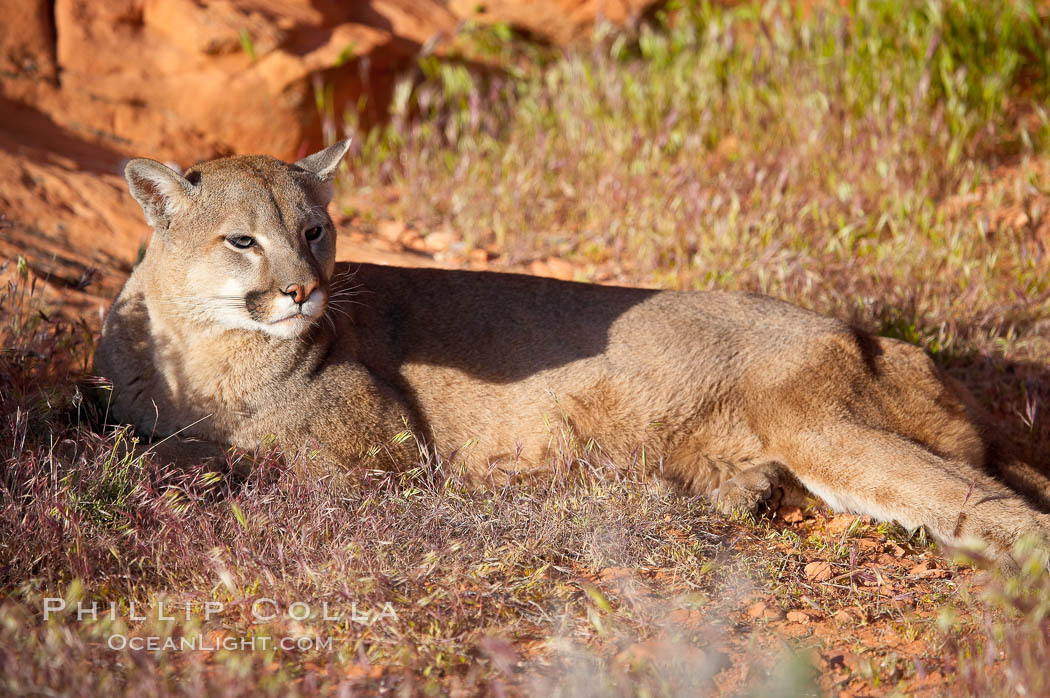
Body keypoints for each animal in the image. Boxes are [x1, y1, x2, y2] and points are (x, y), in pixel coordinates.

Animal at [94, 140, 1050, 562]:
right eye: (243, 241)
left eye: (315, 230)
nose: (302, 290)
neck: (204, 352)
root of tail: (873, 335)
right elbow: (159, 442)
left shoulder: (379, 448)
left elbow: (238, 457)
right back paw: (735, 488)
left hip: (823, 424)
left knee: (985, 502)